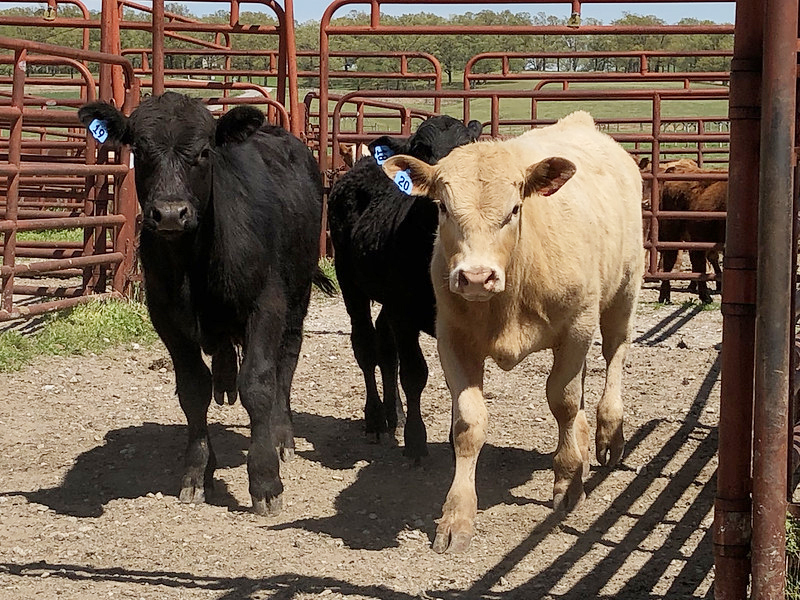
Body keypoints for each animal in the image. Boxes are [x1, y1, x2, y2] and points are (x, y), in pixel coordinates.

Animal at [79, 94, 332, 516]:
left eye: (203, 152)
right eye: (140, 150)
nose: (169, 213)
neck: (194, 265)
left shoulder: (267, 305)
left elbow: (258, 384)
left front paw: (265, 480)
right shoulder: (166, 318)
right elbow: (193, 390)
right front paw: (197, 473)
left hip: (297, 297)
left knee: (285, 364)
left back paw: (282, 436)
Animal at [324, 118, 482, 464]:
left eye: (466, 148)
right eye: (420, 149)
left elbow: (457, 379)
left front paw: (455, 441)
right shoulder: (405, 315)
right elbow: (414, 373)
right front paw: (415, 441)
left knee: (385, 347)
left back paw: (393, 412)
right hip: (350, 283)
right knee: (366, 346)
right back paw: (375, 419)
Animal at [382, 111, 644, 552]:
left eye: (515, 209)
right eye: (443, 207)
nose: (475, 276)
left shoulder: (576, 325)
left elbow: (562, 402)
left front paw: (567, 481)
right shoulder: (453, 338)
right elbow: (468, 424)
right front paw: (457, 516)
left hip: (623, 292)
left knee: (615, 356)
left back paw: (609, 432)